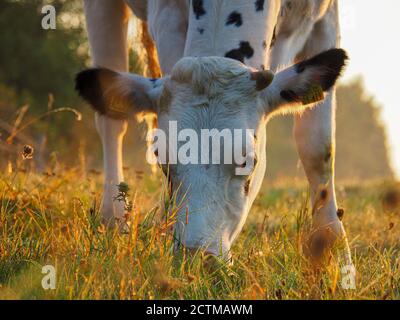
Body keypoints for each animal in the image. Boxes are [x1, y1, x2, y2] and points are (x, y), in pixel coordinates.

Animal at [77, 0, 350, 262]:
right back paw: (113, 219)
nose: (197, 256)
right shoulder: (167, 17)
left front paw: (332, 253)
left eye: (247, 162)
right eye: (163, 162)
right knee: (112, 122)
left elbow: (317, 146)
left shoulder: (324, 18)